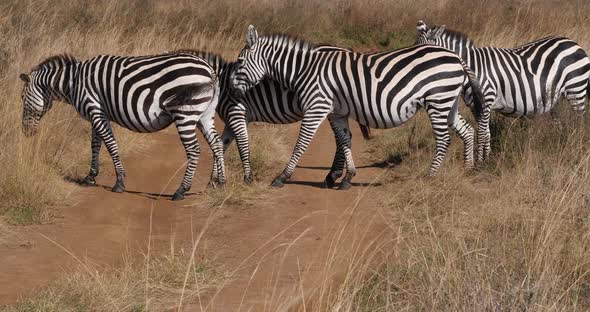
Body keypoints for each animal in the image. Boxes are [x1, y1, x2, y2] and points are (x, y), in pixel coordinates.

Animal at [20, 51, 227, 200]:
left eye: (22, 98)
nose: (25, 132)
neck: (74, 83)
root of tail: (209, 69)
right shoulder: (97, 114)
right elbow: (95, 145)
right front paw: (90, 177)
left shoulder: (95, 110)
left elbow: (111, 145)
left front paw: (119, 183)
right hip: (205, 114)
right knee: (216, 144)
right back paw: (218, 182)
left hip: (185, 113)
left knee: (194, 150)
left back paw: (181, 190)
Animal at [190, 47, 372, 188]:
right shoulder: (230, 120)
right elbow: (221, 145)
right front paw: (214, 181)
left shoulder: (236, 113)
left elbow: (241, 146)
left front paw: (245, 179)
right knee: (343, 137)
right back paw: (333, 176)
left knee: (341, 138)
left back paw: (333, 176)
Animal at [231, 25, 486, 188]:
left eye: (240, 62)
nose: (231, 89)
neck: (306, 70)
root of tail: (455, 56)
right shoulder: (336, 112)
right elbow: (345, 140)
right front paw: (346, 178)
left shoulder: (316, 107)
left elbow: (301, 144)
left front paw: (282, 177)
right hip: (448, 101)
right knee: (467, 131)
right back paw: (468, 169)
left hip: (438, 99)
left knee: (444, 139)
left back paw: (430, 177)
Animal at [416, 20, 590, 162]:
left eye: (424, 52)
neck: (471, 67)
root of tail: (573, 43)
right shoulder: (475, 106)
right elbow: (486, 133)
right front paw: (487, 159)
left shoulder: (486, 99)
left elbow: (482, 134)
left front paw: (480, 164)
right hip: (557, 99)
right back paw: (558, 145)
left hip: (576, 90)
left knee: (580, 121)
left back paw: (578, 145)